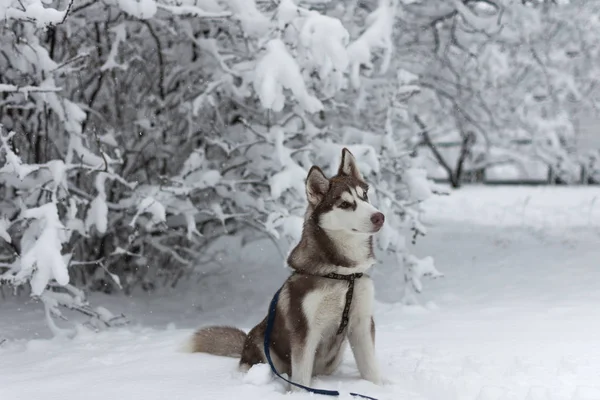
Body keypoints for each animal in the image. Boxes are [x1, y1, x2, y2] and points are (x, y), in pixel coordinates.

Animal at [186, 148, 384, 390]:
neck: (343, 274)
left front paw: (380, 388)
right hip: (262, 342)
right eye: (345, 204)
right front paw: (301, 393)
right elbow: (300, 377)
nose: (379, 217)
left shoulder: (361, 323)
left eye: (365, 195)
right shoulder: (304, 330)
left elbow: (371, 369)